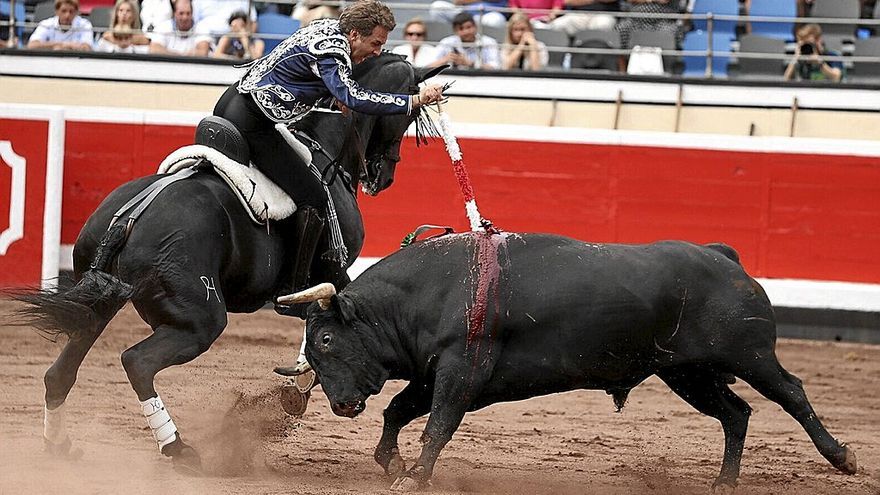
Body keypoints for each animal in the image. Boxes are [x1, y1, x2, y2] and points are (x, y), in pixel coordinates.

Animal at [18, 53, 446, 472]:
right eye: (408, 114)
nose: (382, 176)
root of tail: (129, 218)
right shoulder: (333, 269)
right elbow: (328, 309)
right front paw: (299, 386)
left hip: (99, 303)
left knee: (59, 374)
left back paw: (59, 445)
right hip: (200, 321)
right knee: (137, 361)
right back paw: (178, 449)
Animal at [292, 232, 856, 492]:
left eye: (325, 339)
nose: (340, 404)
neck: (426, 293)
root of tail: (723, 256)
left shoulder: (459, 371)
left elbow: (436, 425)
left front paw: (414, 475)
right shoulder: (435, 373)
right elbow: (398, 412)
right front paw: (393, 462)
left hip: (750, 355)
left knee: (792, 393)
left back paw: (841, 457)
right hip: (686, 373)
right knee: (736, 413)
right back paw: (724, 481)